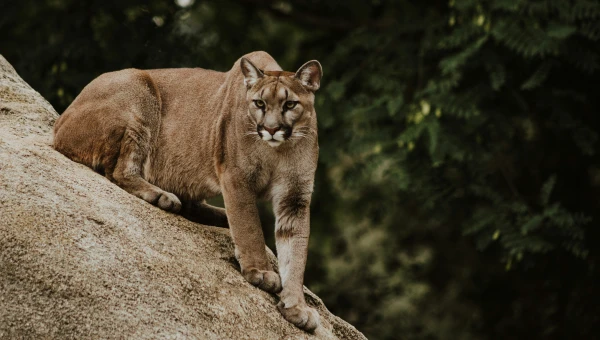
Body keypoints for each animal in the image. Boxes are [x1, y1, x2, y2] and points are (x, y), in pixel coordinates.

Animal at [52, 51, 324, 330]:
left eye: (290, 104)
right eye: (259, 103)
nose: (270, 129)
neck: (278, 150)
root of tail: (58, 125)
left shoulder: (295, 198)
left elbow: (295, 254)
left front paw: (296, 307)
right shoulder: (236, 178)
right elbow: (249, 228)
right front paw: (260, 272)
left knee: (192, 204)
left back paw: (217, 216)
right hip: (139, 90)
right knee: (120, 171)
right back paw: (162, 197)